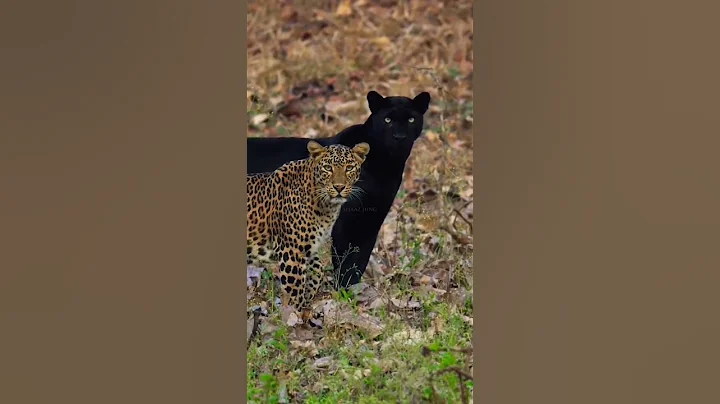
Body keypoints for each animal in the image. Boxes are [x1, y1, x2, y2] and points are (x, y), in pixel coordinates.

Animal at [246, 140, 370, 319]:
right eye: (328, 168)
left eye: (349, 168)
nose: (339, 187)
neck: (325, 206)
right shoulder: (291, 252)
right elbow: (295, 289)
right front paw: (295, 316)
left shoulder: (308, 247)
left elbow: (317, 270)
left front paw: (308, 299)